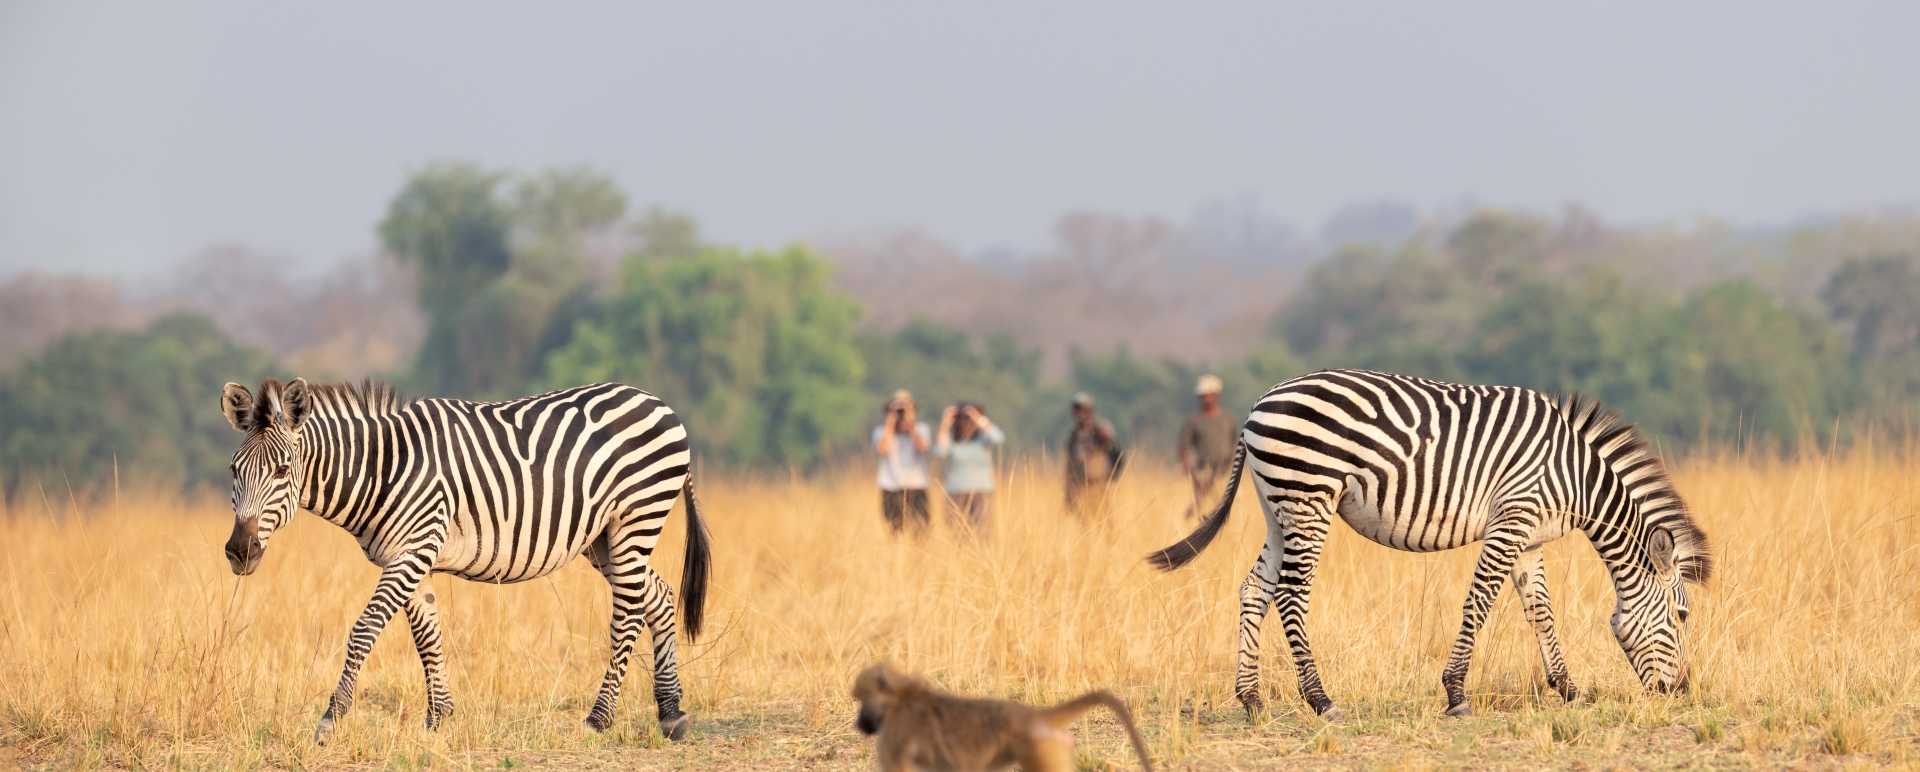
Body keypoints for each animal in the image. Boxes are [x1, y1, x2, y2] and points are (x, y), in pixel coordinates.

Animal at [217, 378, 712, 744]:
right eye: (234, 471)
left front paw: (330, 719)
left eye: (283, 470)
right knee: (659, 597)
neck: (382, 469)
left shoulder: (415, 549)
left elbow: (364, 630)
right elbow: (427, 636)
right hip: (603, 539)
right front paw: (439, 717)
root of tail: (660, 404)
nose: (240, 552)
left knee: (627, 614)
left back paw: (598, 718)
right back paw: (671, 713)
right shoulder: (406, 556)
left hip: (635, 519)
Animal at [850, 663, 1154, 772]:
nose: (859, 724)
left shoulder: (895, 736)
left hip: (1038, 751)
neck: (902, 698)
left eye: (861, 699)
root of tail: (1032, 716)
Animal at [1146, 369, 1712, 719]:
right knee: (1290, 593)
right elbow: (1479, 602)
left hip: (1278, 507)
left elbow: (1540, 612)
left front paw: (1568, 688)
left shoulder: (1528, 537)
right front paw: (1456, 692)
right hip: (1309, 498)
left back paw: (1251, 699)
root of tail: (1258, 406)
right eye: (1683, 616)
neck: (1576, 477)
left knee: (1254, 588)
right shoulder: (1511, 519)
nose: (1681, 691)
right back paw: (1321, 700)